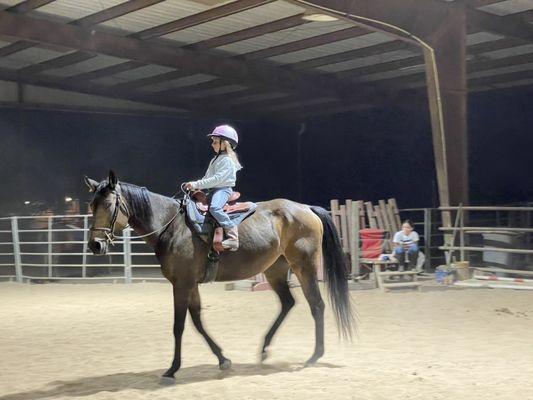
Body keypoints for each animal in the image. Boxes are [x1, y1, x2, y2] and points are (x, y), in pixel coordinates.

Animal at [85, 170, 354, 382]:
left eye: (108, 205)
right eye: (91, 206)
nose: (95, 245)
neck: (173, 226)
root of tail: (306, 208)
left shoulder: (181, 285)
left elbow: (179, 326)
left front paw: (172, 369)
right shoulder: (190, 284)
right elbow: (197, 321)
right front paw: (223, 359)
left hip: (304, 266)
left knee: (316, 304)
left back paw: (314, 356)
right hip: (275, 269)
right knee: (288, 302)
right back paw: (265, 349)